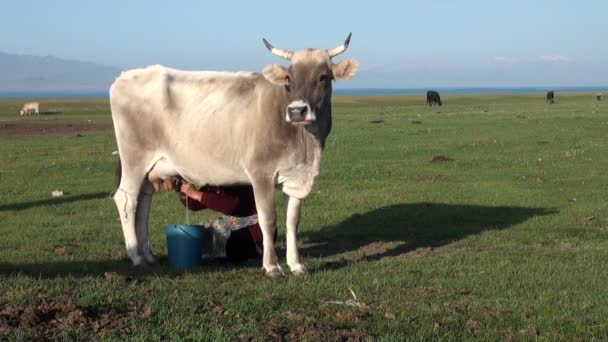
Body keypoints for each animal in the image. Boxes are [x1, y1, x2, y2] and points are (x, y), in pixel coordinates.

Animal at [109, 32, 358, 278]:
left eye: (324, 77)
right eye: (289, 79)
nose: (297, 111)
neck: (306, 144)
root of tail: (125, 76)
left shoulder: (296, 176)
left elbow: (292, 222)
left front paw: (296, 265)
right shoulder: (261, 173)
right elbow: (268, 219)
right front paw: (272, 267)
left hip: (150, 169)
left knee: (143, 203)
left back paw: (148, 255)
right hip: (134, 159)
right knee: (126, 200)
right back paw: (136, 256)